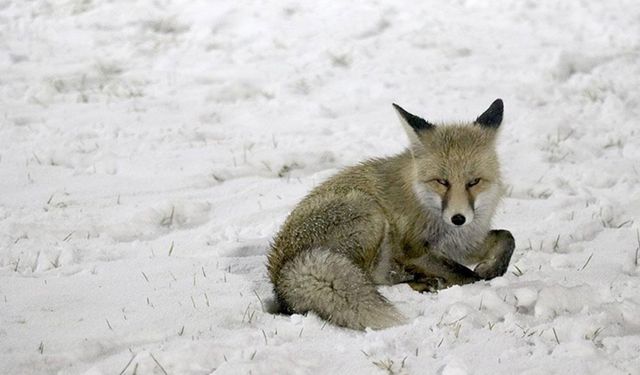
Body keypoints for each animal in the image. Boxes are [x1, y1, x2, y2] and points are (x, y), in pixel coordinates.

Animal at [264, 98, 516, 330]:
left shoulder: (463, 243)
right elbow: (467, 275)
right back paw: (423, 282)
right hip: (371, 214)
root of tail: (280, 276)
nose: (458, 218)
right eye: (441, 182)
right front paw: (477, 277)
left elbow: (507, 236)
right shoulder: (414, 251)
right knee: (374, 279)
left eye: (474, 182)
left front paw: (493, 267)